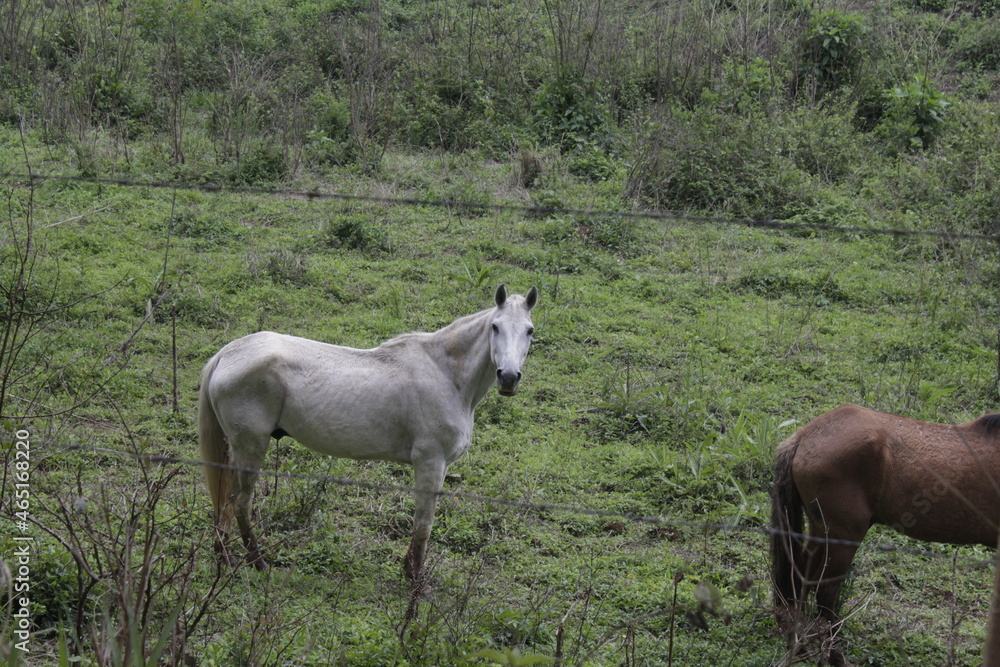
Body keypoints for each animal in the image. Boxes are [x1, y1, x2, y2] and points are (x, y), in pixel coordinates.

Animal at [198, 284, 538, 588]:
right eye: (495, 327)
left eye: (530, 331)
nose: (508, 377)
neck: (445, 375)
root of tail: (227, 353)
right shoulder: (431, 463)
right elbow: (423, 525)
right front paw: (416, 581)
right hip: (252, 446)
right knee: (239, 501)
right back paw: (258, 563)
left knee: (225, 500)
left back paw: (224, 555)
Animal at [771, 404, 1000, 666]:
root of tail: (803, 437)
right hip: (844, 538)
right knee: (825, 593)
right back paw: (835, 656)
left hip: (821, 533)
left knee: (799, 580)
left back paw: (798, 646)